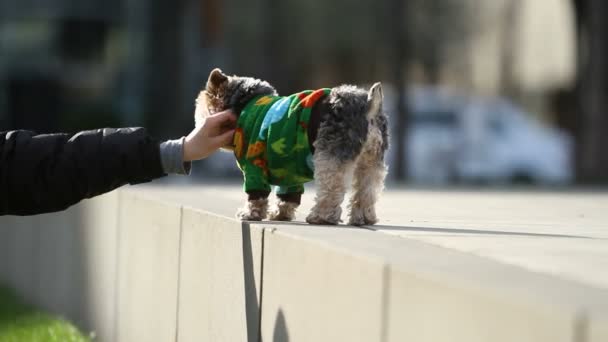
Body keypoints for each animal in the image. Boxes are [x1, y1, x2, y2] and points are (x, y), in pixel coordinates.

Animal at [195, 68, 390, 226]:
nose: (199, 126)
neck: (244, 105)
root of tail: (369, 105)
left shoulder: (253, 164)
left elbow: (257, 195)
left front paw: (250, 213)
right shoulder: (289, 168)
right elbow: (288, 195)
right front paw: (280, 214)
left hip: (330, 157)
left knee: (332, 189)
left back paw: (320, 217)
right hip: (371, 160)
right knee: (367, 189)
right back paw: (363, 218)